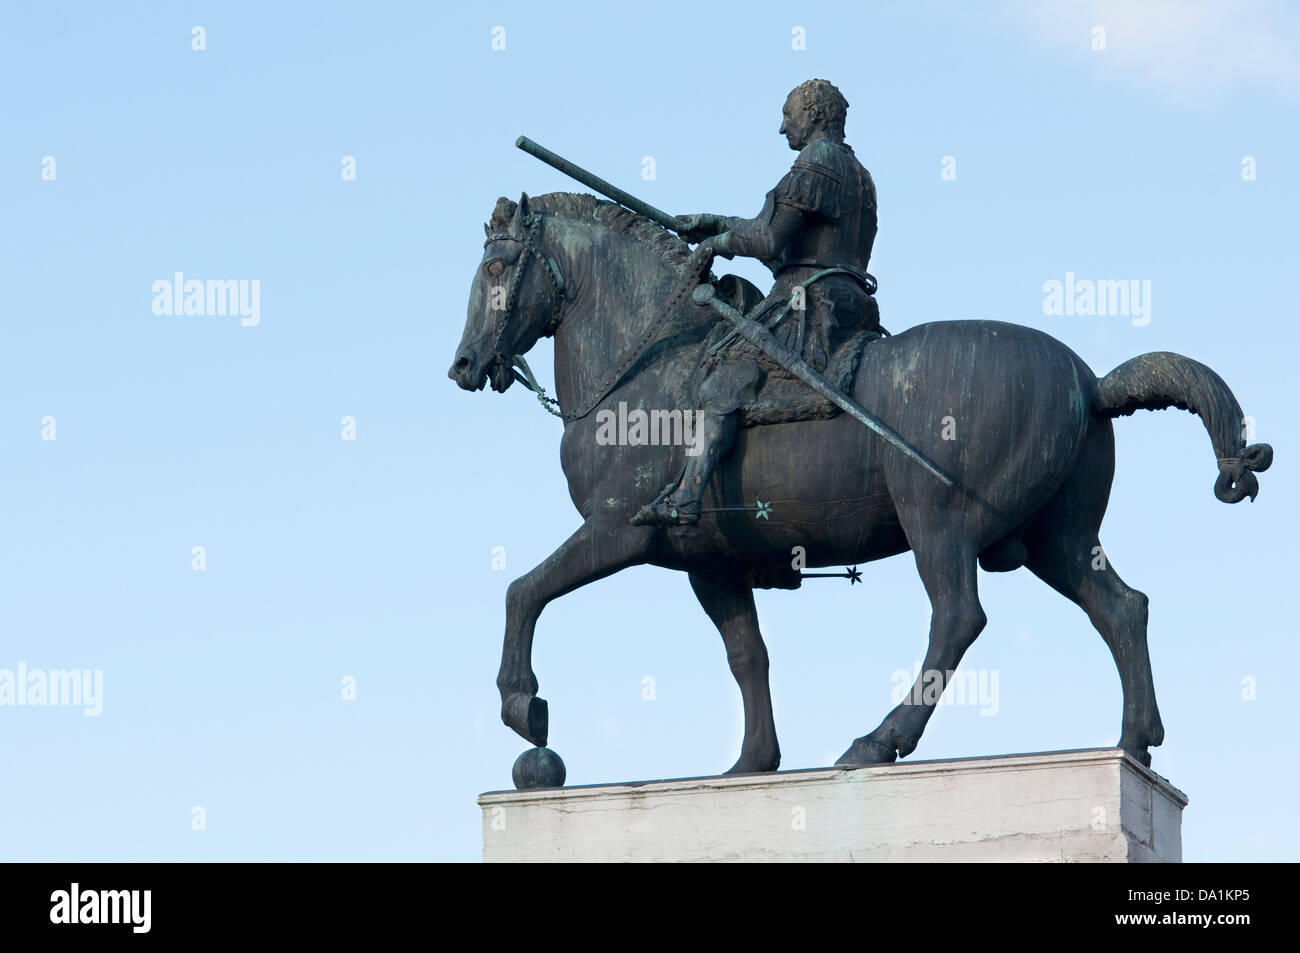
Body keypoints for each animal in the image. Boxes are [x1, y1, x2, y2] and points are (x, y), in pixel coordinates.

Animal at [447, 191, 1268, 774]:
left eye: (496, 267)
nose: (463, 365)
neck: (646, 367)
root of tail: (1089, 384)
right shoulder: (711, 565)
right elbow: (748, 656)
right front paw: (753, 763)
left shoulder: (620, 529)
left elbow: (524, 589)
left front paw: (524, 706)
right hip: (1055, 539)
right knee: (1123, 608)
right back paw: (1134, 741)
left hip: (939, 522)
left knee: (959, 617)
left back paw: (879, 741)